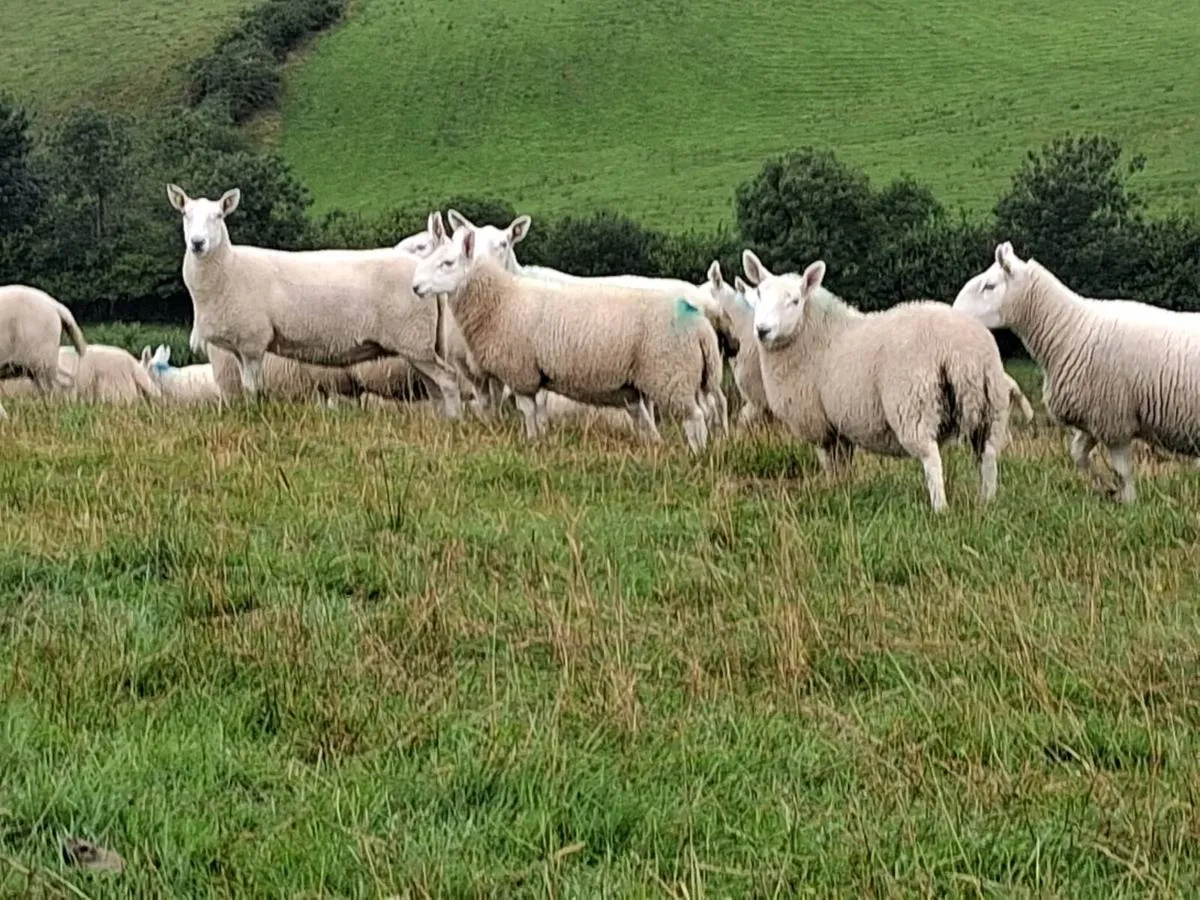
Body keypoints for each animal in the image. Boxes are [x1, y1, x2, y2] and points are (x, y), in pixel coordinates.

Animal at [166, 184, 462, 419]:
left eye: (218, 216)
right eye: (185, 214)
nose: (198, 243)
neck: (229, 267)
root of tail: (422, 274)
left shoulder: (253, 342)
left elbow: (253, 389)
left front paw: (255, 417)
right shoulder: (240, 347)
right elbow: (249, 388)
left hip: (414, 339)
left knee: (448, 381)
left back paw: (455, 422)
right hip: (420, 345)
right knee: (435, 387)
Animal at [411, 226, 726, 454]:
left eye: (448, 263)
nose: (415, 286)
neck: (501, 300)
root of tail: (702, 326)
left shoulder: (520, 372)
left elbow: (527, 412)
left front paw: (531, 443)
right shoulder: (533, 376)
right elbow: (537, 414)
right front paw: (540, 440)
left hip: (671, 375)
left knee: (695, 418)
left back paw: (696, 456)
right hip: (695, 379)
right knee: (707, 410)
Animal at [742, 250, 1013, 512]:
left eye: (795, 301)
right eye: (758, 294)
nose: (762, 330)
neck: (814, 334)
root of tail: (962, 350)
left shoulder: (818, 423)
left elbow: (829, 463)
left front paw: (832, 491)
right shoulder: (839, 426)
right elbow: (843, 464)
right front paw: (844, 490)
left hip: (914, 403)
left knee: (932, 459)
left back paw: (940, 509)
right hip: (992, 406)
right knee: (988, 456)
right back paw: (987, 502)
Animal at [953, 242, 1200, 502]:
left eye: (989, 286)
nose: (954, 315)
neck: (1070, 328)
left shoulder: (1114, 419)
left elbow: (1123, 471)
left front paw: (1128, 502)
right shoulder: (1093, 418)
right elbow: (1078, 454)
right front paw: (1106, 487)